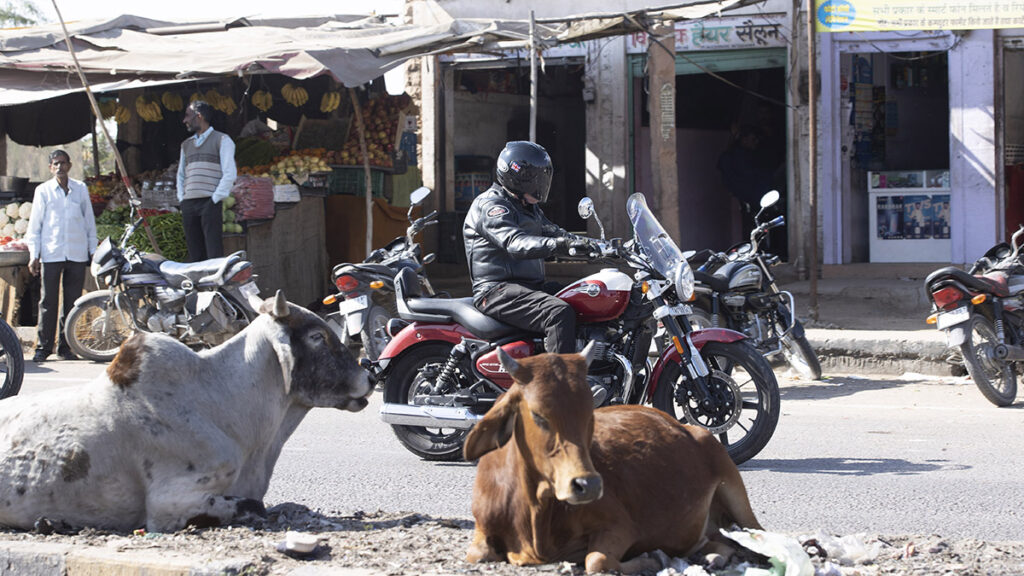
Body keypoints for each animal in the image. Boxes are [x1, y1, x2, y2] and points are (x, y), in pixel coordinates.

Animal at [464, 342, 761, 569]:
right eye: (537, 415)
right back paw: (710, 556)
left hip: (736, 491)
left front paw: (651, 558)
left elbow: (596, 561)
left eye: (590, 413)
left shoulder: (619, 525)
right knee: (719, 541)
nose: (588, 485)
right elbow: (476, 554)